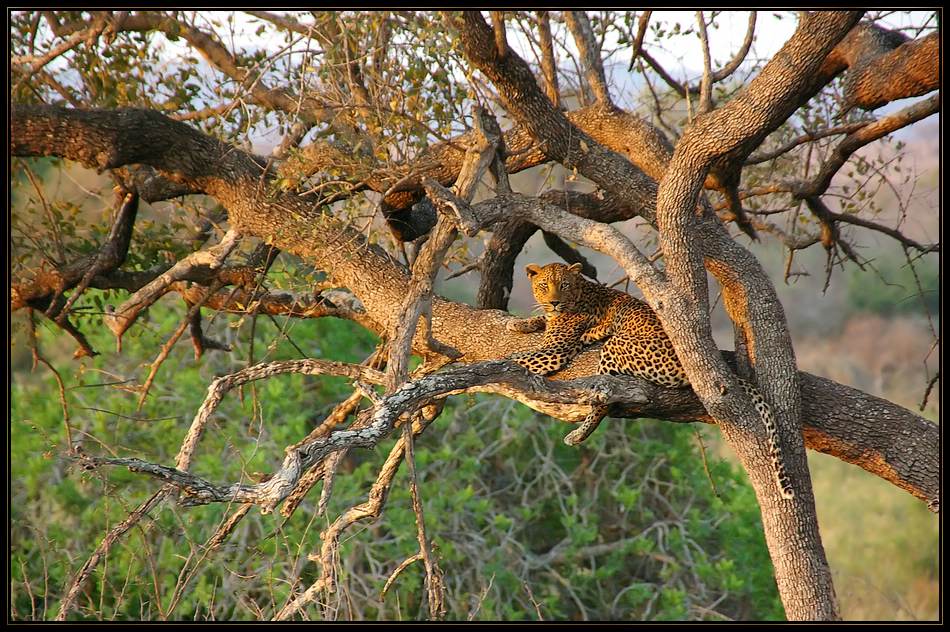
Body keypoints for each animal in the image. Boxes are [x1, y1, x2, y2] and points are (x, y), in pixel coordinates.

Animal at [512, 260, 796, 498]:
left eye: (564, 285)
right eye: (544, 286)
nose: (554, 302)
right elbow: (537, 323)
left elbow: (517, 361)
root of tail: (686, 363)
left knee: (603, 397)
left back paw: (580, 432)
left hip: (617, 347)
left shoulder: (555, 350)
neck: (580, 292)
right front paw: (521, 324)